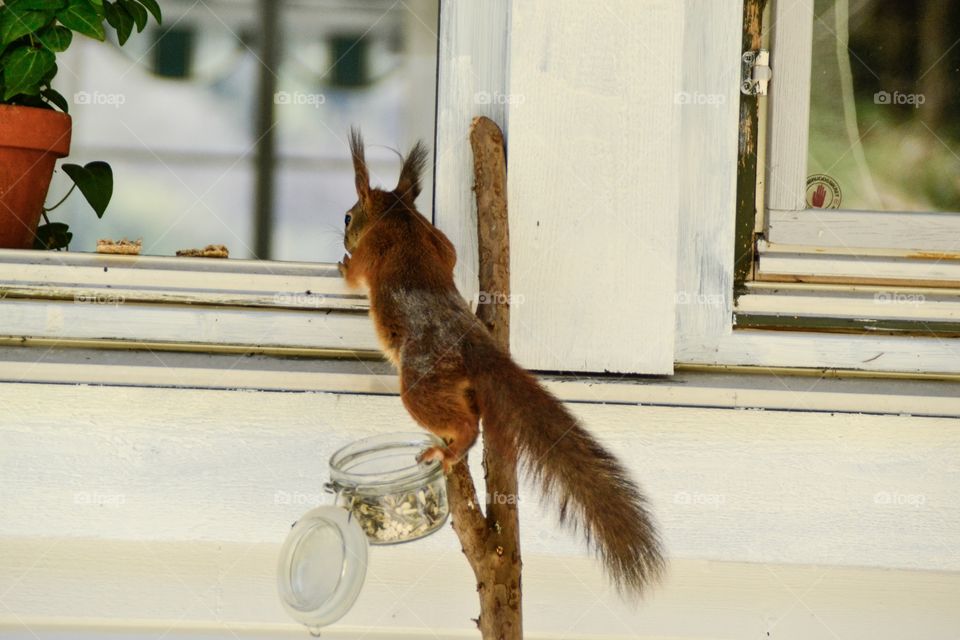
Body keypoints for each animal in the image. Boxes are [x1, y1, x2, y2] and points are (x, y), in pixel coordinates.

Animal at [336, 129, 660, 596]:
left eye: (348, 218)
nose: (342, 238)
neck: (401, 222)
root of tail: (476, 348)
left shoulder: (375, 251)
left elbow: (355, 277)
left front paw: (343, 265)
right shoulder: (437, 240)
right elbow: (451, 254)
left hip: (419, 384)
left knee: (466, 426)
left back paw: (447, 450)